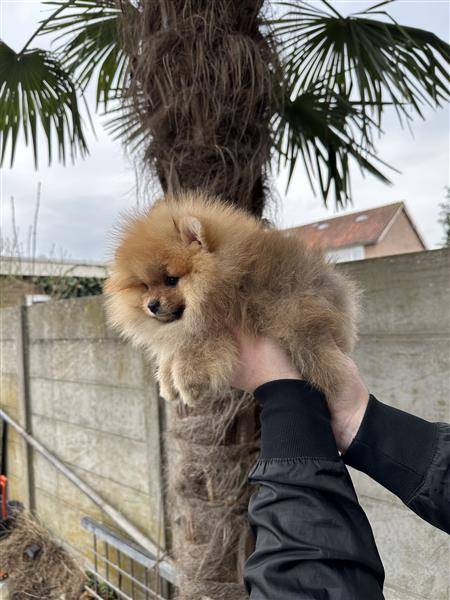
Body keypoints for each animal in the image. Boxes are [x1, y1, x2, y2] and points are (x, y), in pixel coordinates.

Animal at [105, 192, 358, 406]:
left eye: (171, 280)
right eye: (145, 286)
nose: (152, 305)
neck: (227, 275)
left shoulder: (218, 323)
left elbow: (197, 347)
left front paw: (187, 384)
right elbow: (173, 350)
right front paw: (167, 380)